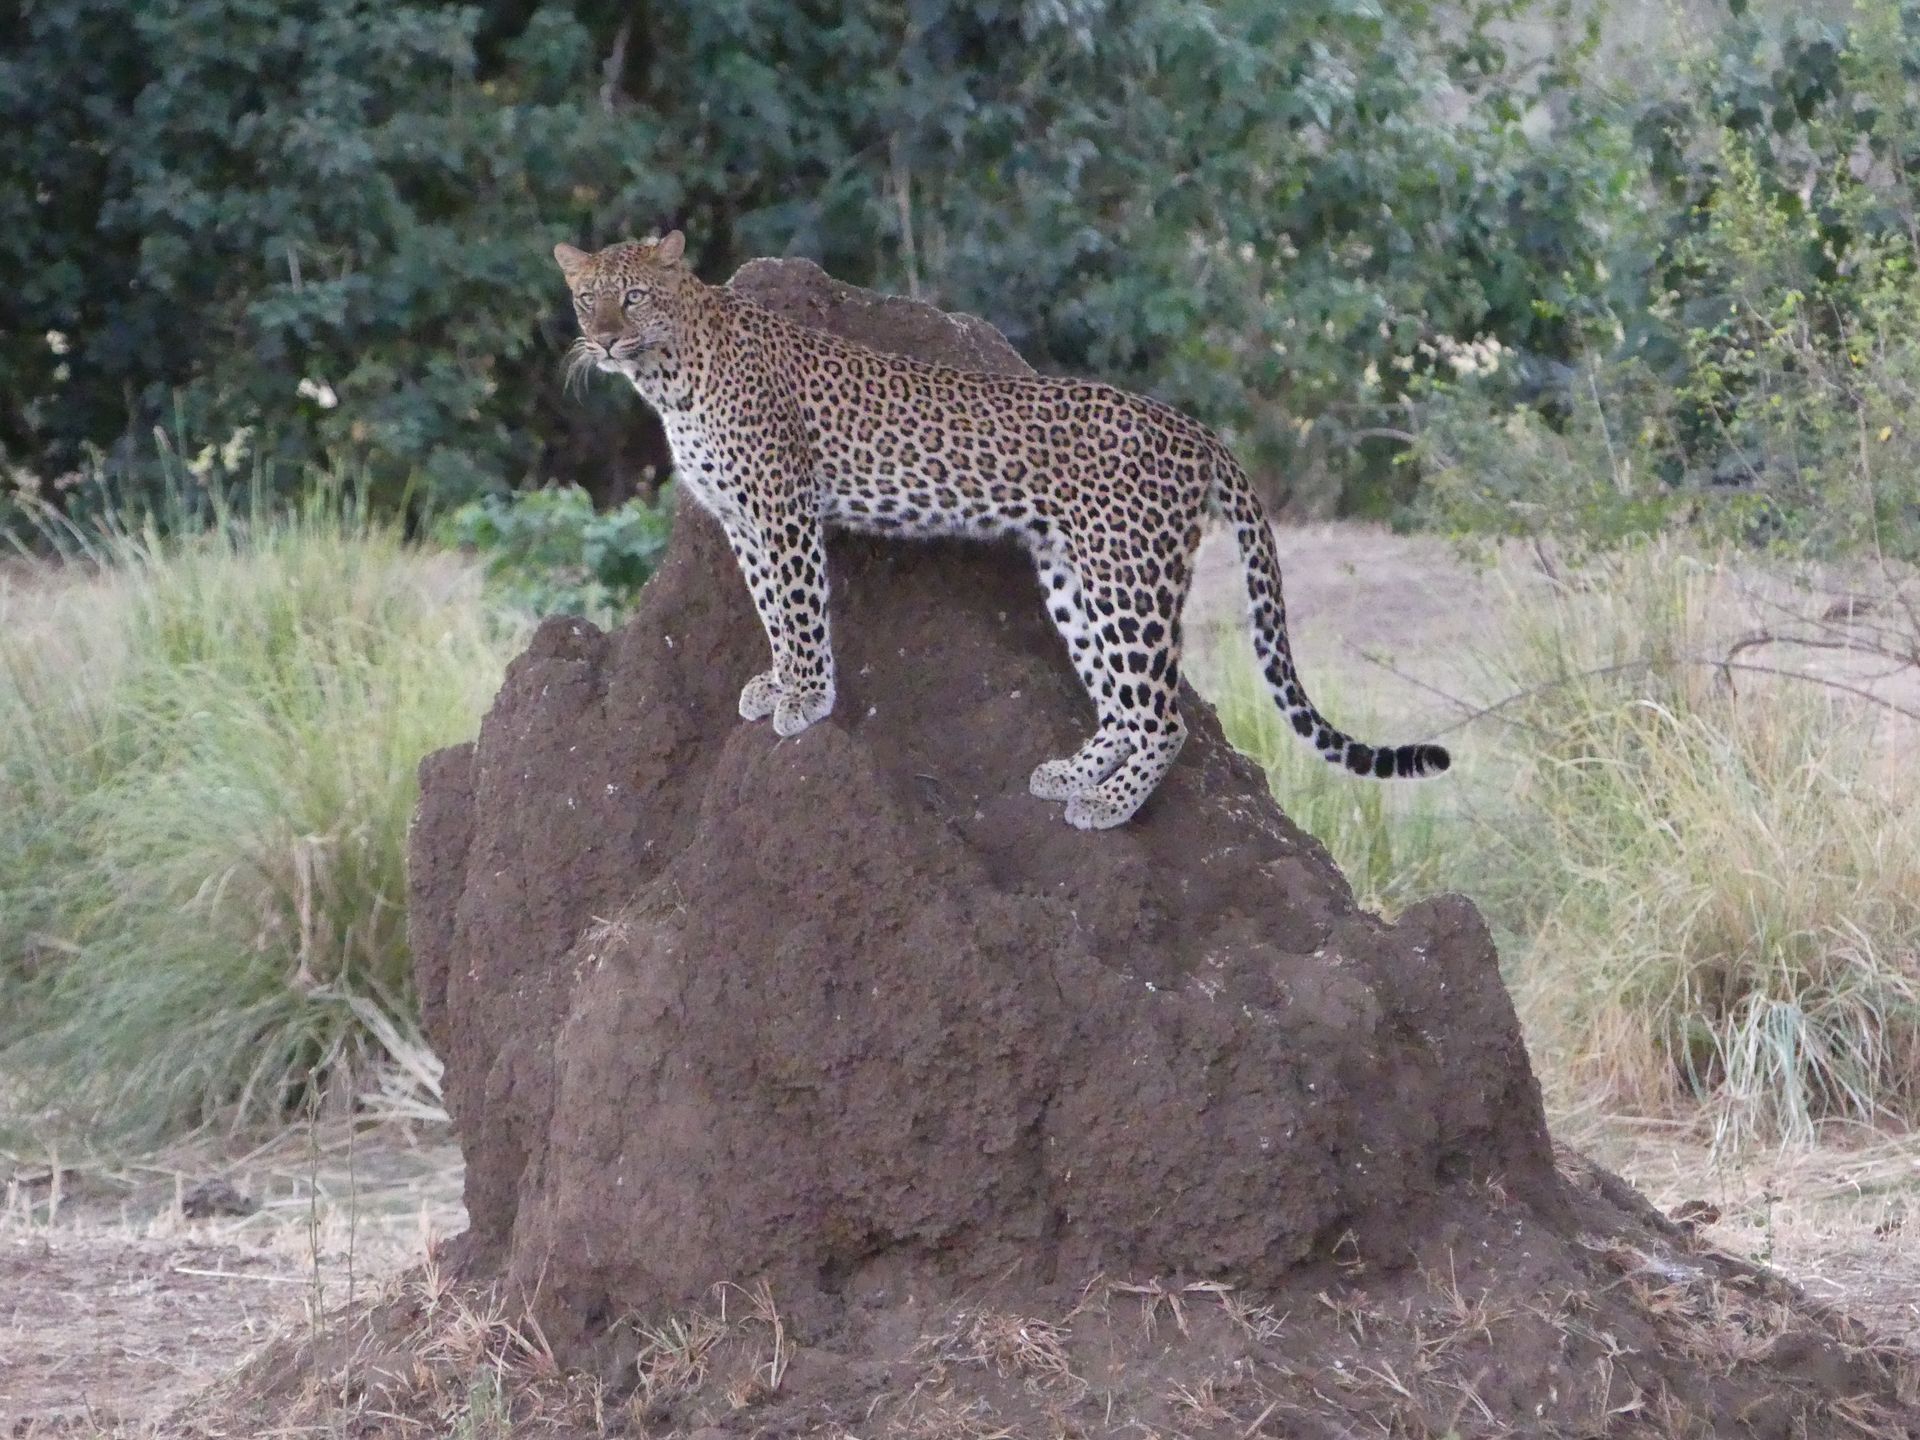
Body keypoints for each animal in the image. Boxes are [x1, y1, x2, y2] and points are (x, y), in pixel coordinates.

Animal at [554, 231, 1449, 830]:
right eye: (586, 296)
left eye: (635, 296)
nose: (602, 338)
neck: (670, 373)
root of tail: (1197, 432)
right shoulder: (741, 519)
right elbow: (773, 611)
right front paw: (777, 685)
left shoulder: (782, 508)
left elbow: (802, 609)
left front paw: (806, 698)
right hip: (1073, 575)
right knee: (1122, 706)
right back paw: (1070, 776)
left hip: (1129, 577)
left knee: (1166, 717)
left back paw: (1109, 805)